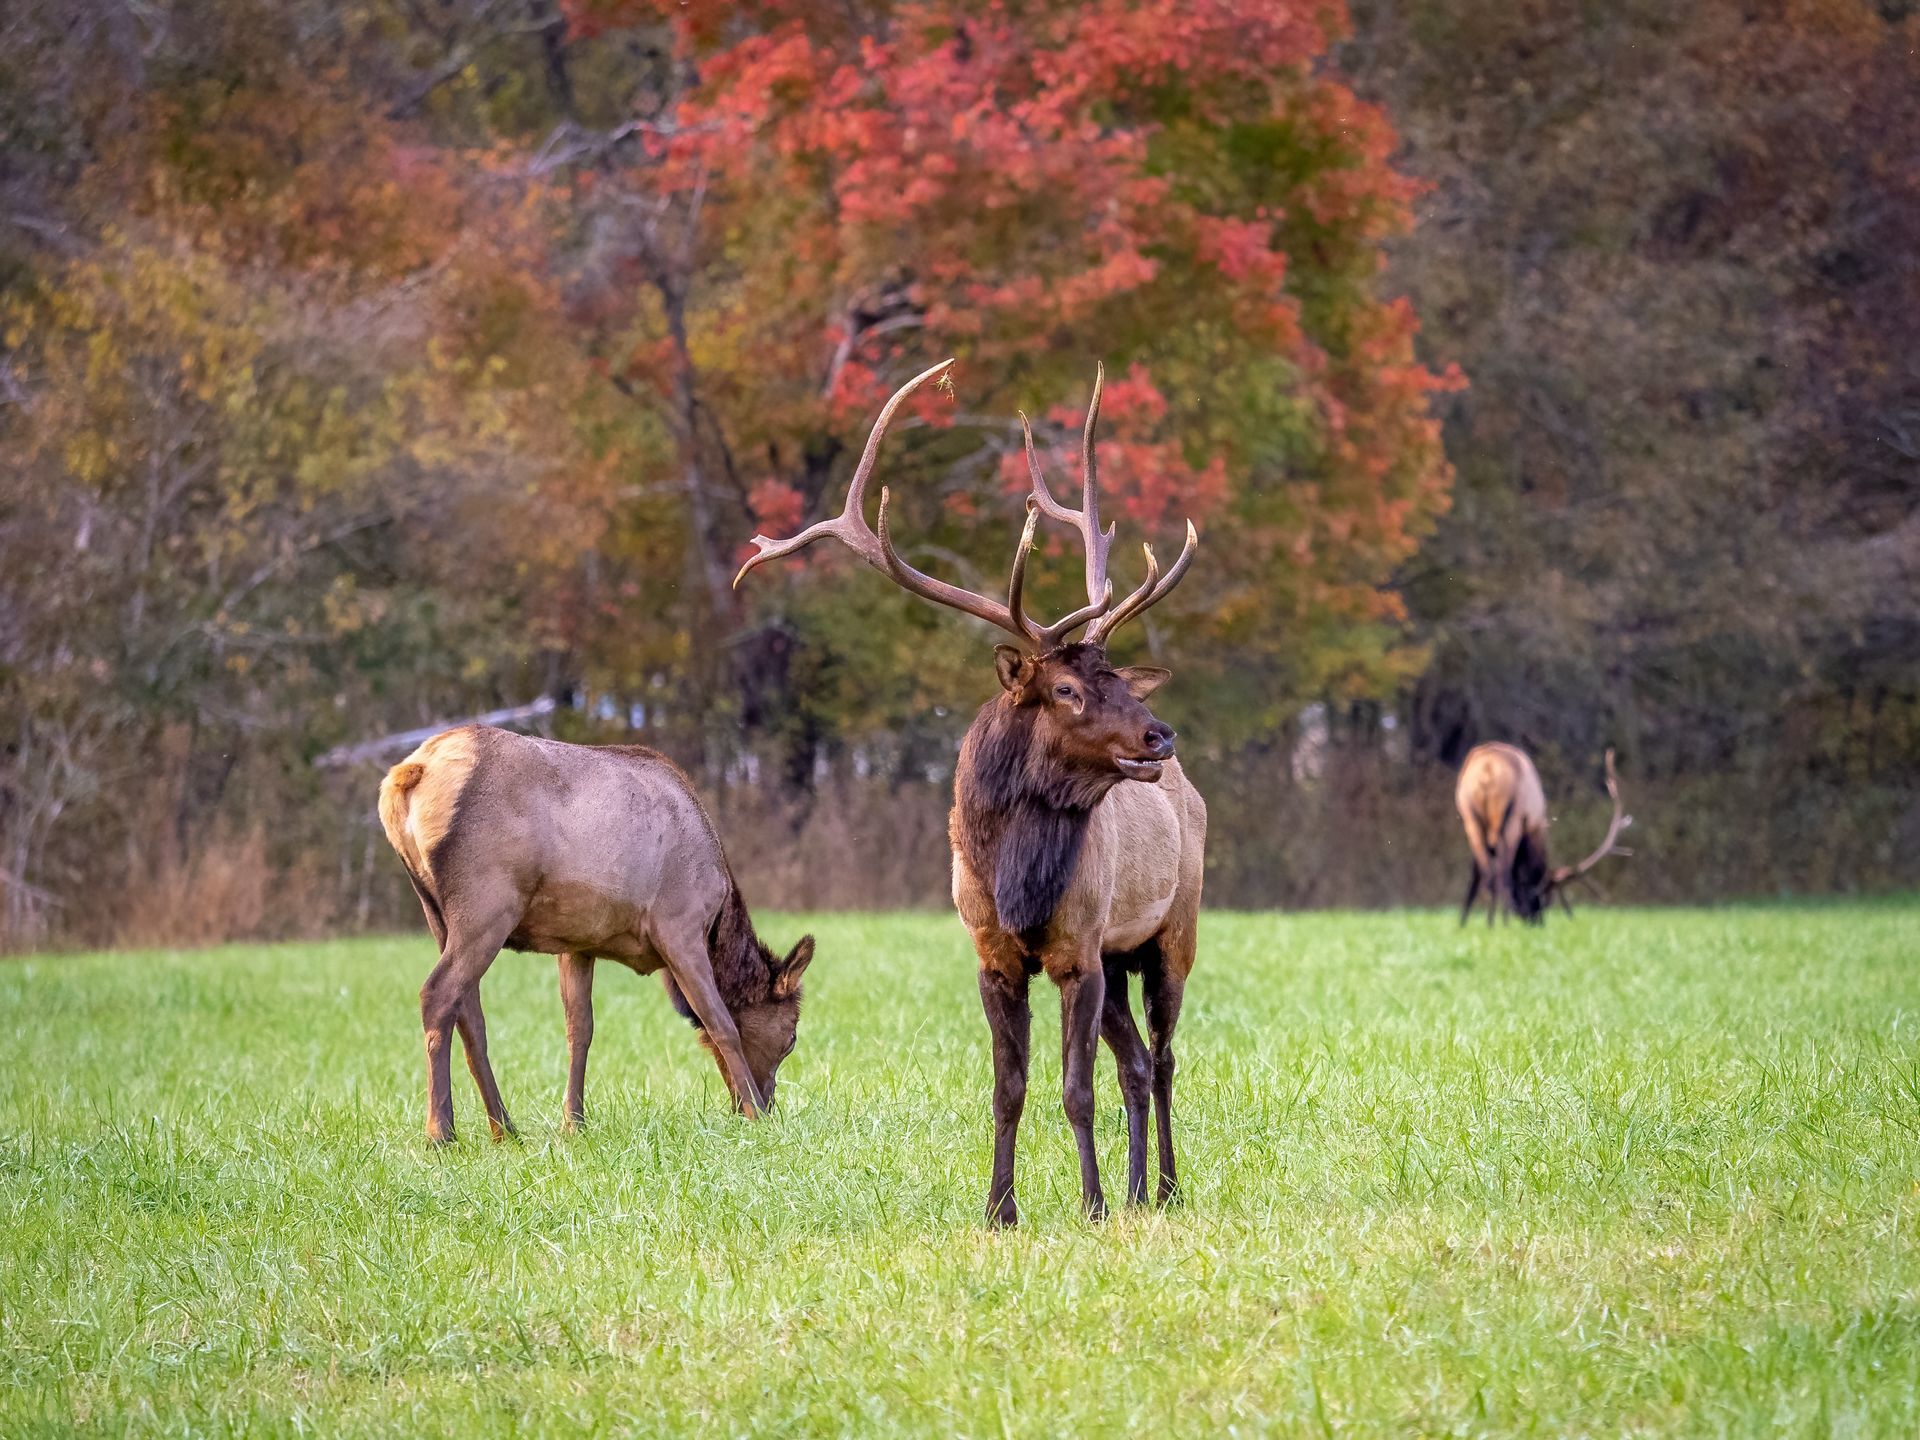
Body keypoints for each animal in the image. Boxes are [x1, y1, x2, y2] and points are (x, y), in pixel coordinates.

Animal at [377, 726, 814, 1143]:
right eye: (791, 1036)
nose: (769, 1101)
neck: (718, 920)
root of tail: (410, 774)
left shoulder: (577, 945)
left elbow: (579, 1031)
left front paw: (573, 1123)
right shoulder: (680, 925)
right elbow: (720, 1022)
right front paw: (756, 1115)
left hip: (436, 912)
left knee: (469, 1012)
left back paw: (505, 1128)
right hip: (488, 903)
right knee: (437, 993)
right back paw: (441, 1133)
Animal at [737, 358, 1205, 1225]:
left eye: (1118, 677)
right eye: (1066, 689)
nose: (1161, 736)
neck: (1018, 881)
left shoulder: (1079, 948)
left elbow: (1075, 1089)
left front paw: (1088, 1205)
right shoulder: (995, 952)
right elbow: (1009, 1088)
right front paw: (1001, 1209)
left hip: (1169, 932)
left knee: (1162, 1059)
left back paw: (1163, 1188)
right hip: (1119, 956)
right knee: (1136, 1063)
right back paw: (1138, 1193)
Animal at [1455, 742, 1633, 925]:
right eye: (1545, 899)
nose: (1536, 922)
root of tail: (1487, 770)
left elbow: (1475, 877)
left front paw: (1463, 922)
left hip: (1471, 818)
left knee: (1488, 876)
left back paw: (1487, 924)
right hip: (1511, 820)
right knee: (1503, 874)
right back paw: (1505, 923)